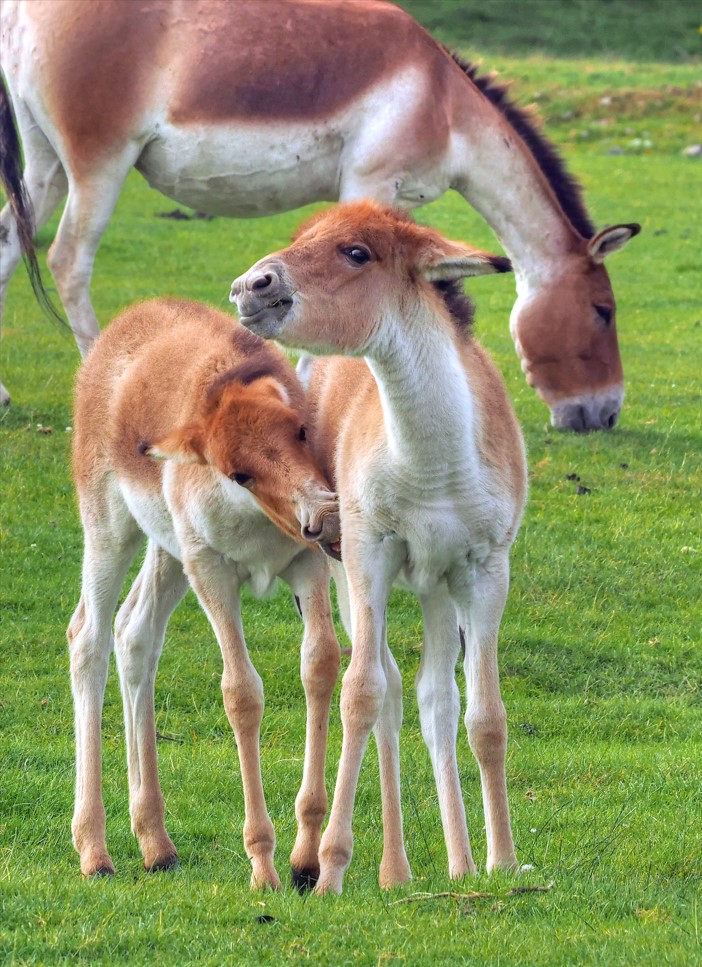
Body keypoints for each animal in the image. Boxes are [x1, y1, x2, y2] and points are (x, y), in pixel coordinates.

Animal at [0, 0, 640, 428]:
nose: (604, 415)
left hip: (47, 165)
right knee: (68, 260)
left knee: (10, 243)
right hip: (99, 164)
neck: (442, 99)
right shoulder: (372, 185)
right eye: (603, 312)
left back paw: (4, 397)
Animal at [69, 297, 341, 887]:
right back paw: (95, 851)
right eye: (239, 473)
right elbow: (240, 691)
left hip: (167, 551)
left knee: (135, 633)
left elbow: (320, 663)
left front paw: (306, 859)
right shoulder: (211, 572)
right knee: (88, 638)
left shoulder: (306, 564)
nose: (324, 515)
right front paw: (263, 864)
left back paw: (156, 844)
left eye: (300, 431)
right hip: (111, 529)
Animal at [230, 201, 527, 892]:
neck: (436, 463)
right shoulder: (370, 558)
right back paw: (389, 868)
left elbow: (485, 716)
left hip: (437, 590)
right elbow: (362, 694)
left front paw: (501, 861)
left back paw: (457, 862)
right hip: (357, 578)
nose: (251, 286)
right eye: (302, 236)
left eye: (356, 252)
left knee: (434, 700)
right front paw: (331, 868)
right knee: (388, 692)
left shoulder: (485, 573)